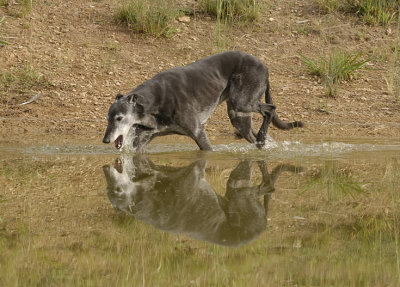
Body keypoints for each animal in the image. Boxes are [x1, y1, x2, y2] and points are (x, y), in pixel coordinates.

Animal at [103, 51, 304, 153]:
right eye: (108, 118)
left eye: (119, 118)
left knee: (270, 108)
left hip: (243, 102)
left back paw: (262, 136)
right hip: (239, 116)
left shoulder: (198, 131)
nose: (105, 140)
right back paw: (261, 143)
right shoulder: (145, 139)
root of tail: (265, 67)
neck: (153, 102)